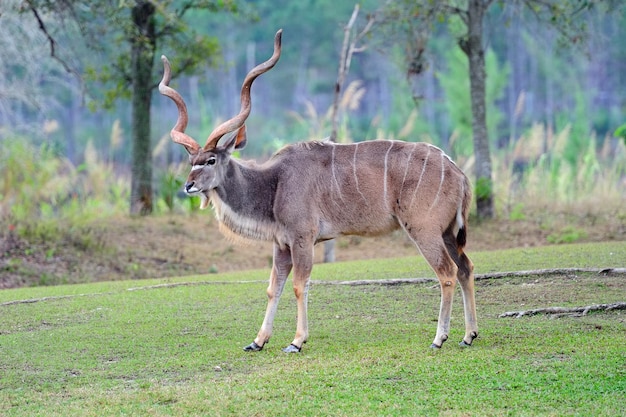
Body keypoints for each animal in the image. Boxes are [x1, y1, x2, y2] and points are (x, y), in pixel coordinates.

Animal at [157, 29, 478, 352]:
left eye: (211, 160)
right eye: (191, 161)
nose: (188, 185)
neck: (274, 182)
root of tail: (459, 173)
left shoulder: (303, 238)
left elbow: (300, 285)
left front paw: (297, 341)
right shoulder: (281, 244)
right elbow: (273, 287)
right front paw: (258, 341)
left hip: (424, 230)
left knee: (447, 272)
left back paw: (439, 338)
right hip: (447, 233)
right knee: (466, 267)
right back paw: (468, 335)